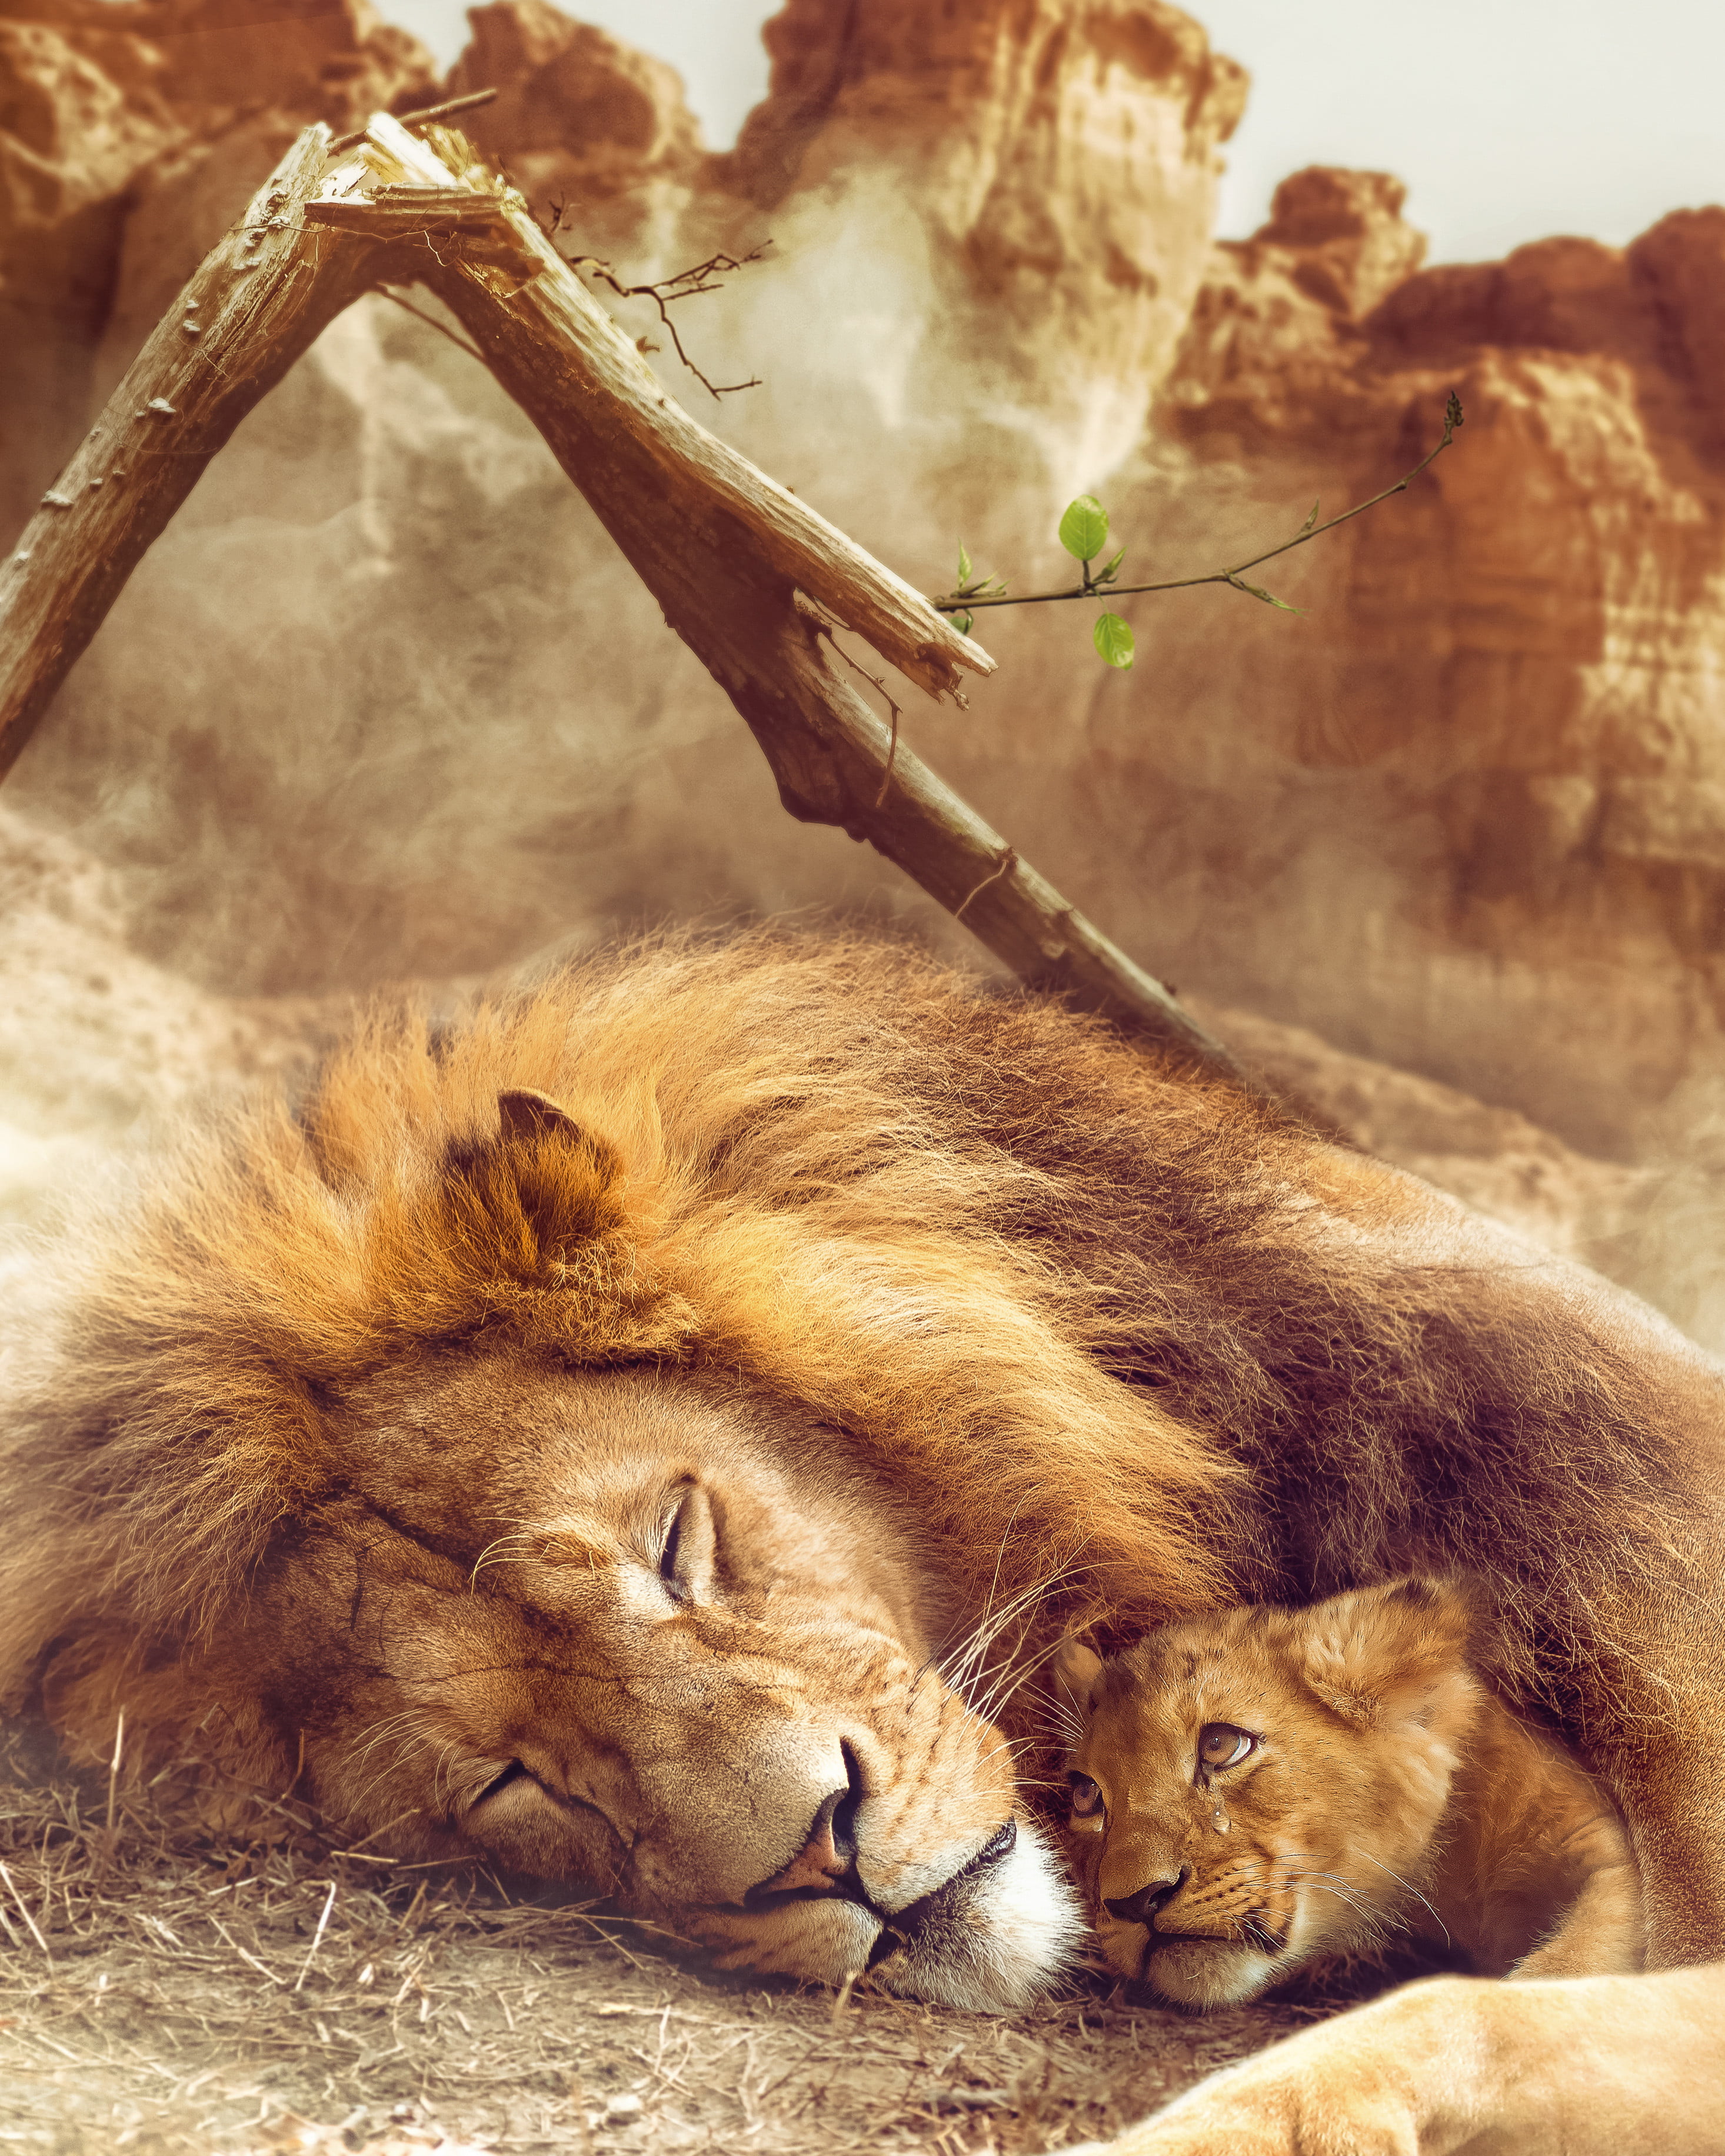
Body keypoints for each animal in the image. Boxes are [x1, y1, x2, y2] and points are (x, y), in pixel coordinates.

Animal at [1056, 1578, 1643, 2009]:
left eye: (1220, 1745)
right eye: (1087, 1796)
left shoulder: (1602, 1846)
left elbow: (1578, 1959)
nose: (1135, 1901)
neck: (1453, 1878)